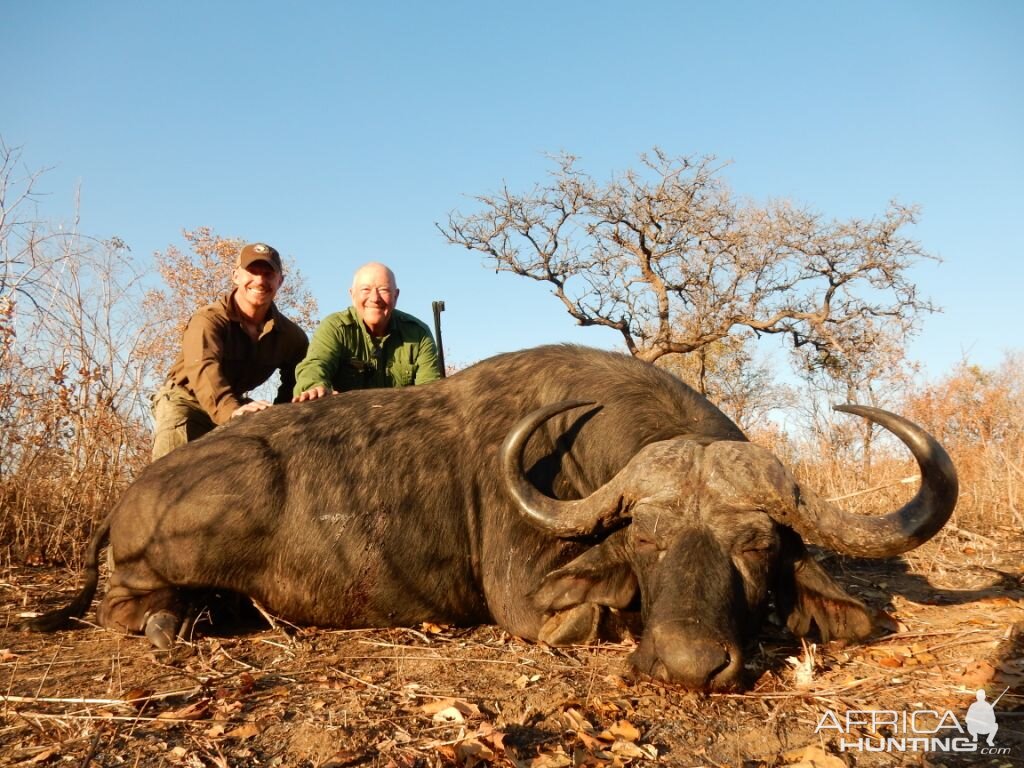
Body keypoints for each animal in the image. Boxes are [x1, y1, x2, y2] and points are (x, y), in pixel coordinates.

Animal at [32, 344, 958, 692]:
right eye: (646, 540)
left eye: (758, 545)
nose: (689, 666)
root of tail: (133, 494)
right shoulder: (533, 600)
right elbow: (585, 614)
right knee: (127, 608)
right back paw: (172, 623)